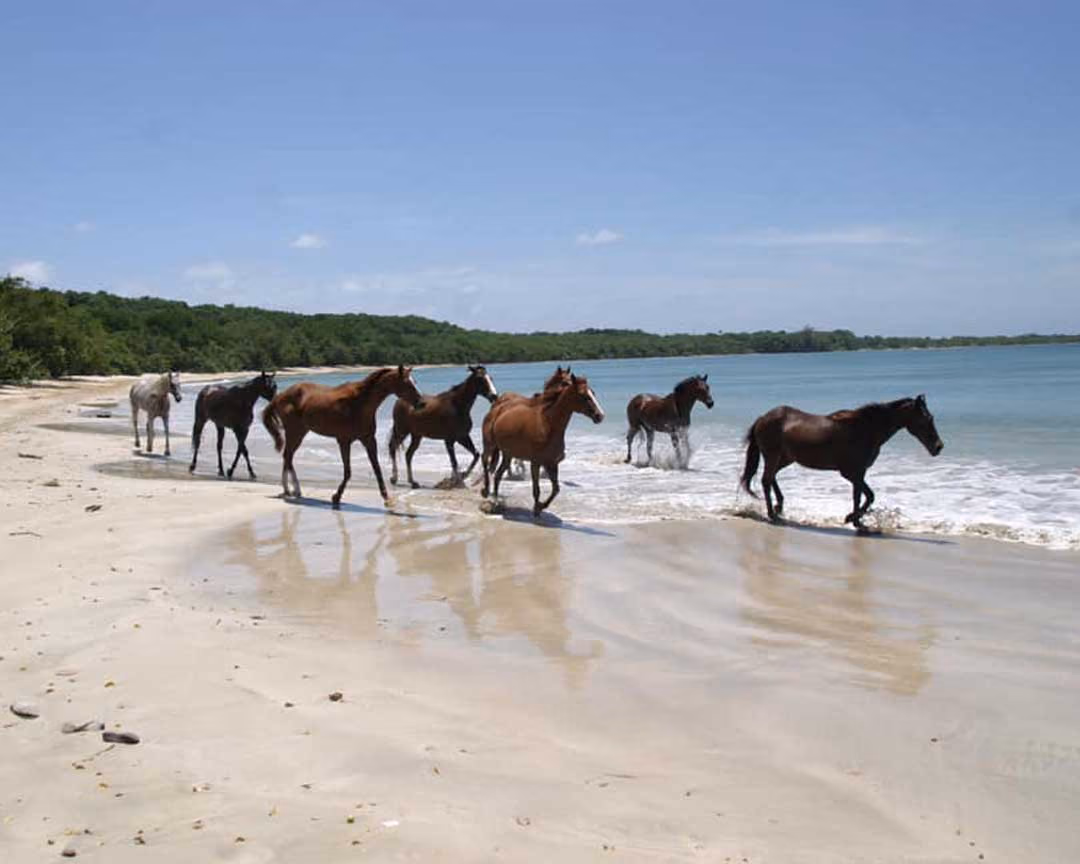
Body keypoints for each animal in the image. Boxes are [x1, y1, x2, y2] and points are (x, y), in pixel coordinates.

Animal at [261, 365, 423, 508]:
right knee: (288, 457)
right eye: (408, 383)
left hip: (300, 432)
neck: (359, 403)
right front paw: (336, 496)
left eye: (415, 382)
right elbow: (348, 471)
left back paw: (289, 490)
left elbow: (376, 468)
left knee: (287, 457)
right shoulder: (344, 441)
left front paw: (387, 498)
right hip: (295, 432)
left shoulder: (369, 440)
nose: (421, 403)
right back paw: (294, 489)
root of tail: (280, 396)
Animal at [482, 373, 605, 516]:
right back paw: (485, 492)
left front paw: (541, 506)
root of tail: (496, 409)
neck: (547, 424)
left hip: (508, 455)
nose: (600, 415)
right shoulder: (536, 463)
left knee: (498, 475)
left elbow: (556, 489)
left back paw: (495, 502)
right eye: (583, 395)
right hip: (490, 445)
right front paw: (536, 509)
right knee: (485, 462)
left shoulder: (551, 463)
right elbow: (537, 489)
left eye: (593, 393)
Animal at [740, 395, 944, 531]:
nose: (938, 447)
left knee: (772, 477)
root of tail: (762, 418)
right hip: (773, 456)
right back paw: (772, 514)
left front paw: (855, 520)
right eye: (926, 419)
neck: (866, 429)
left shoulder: (859, 473)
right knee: (766, 480)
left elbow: (863, 496)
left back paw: (779, 507)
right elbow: (866, 496)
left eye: (931, 418)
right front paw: (852, 519)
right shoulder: (852, 472)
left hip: (785, 458)